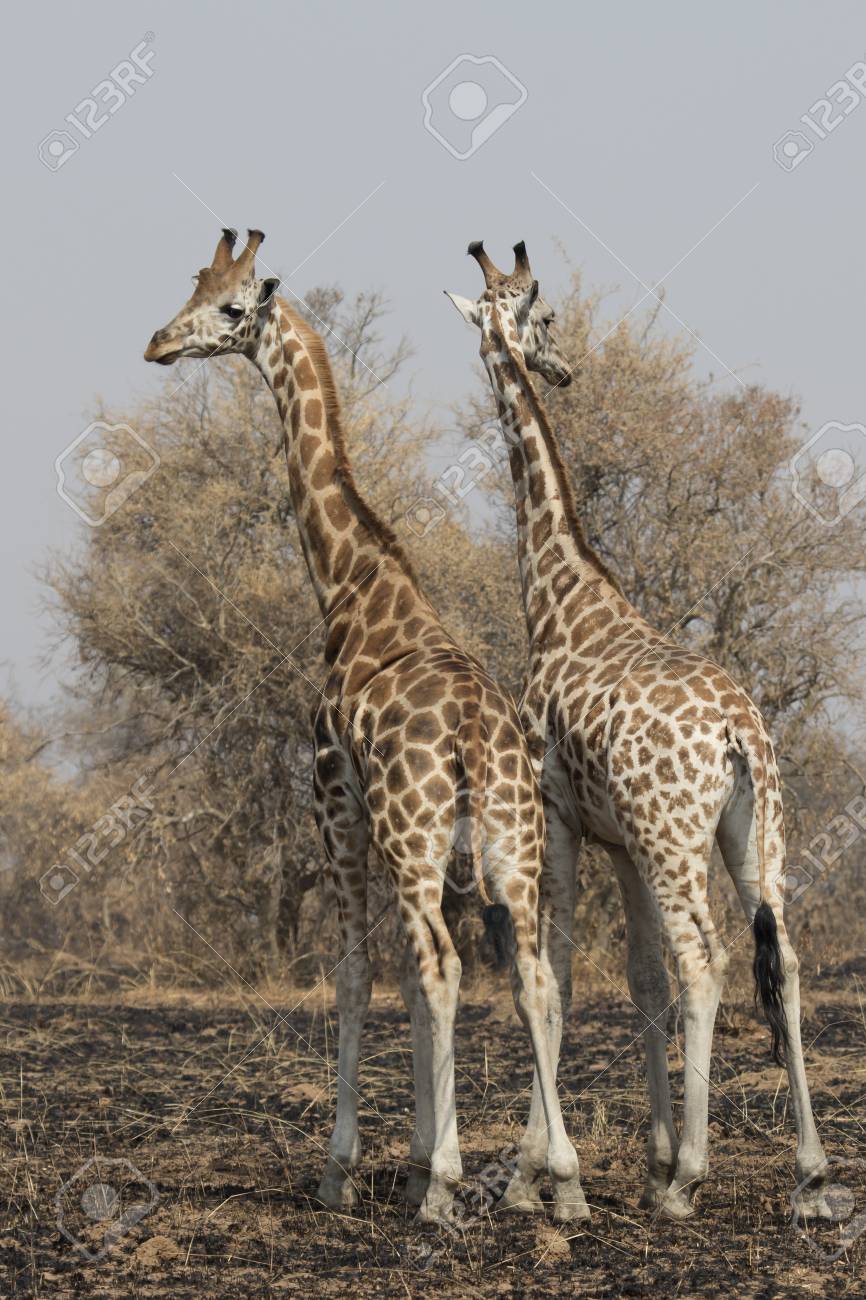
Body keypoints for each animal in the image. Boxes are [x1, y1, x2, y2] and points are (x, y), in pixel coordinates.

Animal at [144, 227, 587, 1224]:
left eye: (232, 307)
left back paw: (450, 1189)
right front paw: (422, 1155)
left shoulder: (335, 800)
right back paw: (564, 1181)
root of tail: (475, 737)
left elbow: (355, 973)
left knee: (442, 967)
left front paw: (346, 1171)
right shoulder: (433, 848)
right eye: (194, 286)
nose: (157, 343)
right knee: (531, 973)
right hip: (510, 843)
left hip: (417, 837)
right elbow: (426, 994)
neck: (351, 584)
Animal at [446, 240, 832, 1223]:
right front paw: (647, 1155)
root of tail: (738, 733)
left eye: (541, 315)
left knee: (708, 962)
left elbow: (558, 975)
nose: (561, 367)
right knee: (784, 960)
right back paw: (810, 1171)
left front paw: (536, 1177)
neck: (557, 596)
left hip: (673, 837)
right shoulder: (617, 839)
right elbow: (639, 980)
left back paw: (693, 1179)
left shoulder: (556, 819)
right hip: (750, 833)